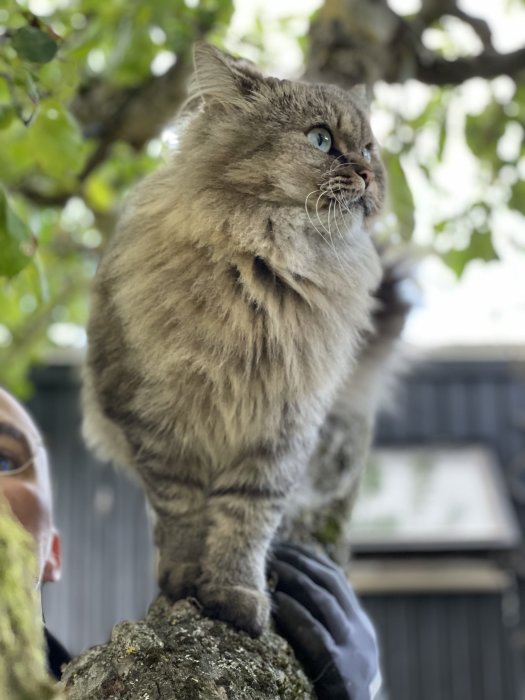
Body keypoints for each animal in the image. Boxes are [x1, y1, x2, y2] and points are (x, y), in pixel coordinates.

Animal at [82, 42, 384, 636]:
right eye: (321, 140)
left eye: (368, 148)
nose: (366, 172)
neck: (267, 274)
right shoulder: (161, 425)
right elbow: (182, 513)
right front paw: (182, 580)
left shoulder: (279, 432)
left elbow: (244, 522)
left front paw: (235, 594)